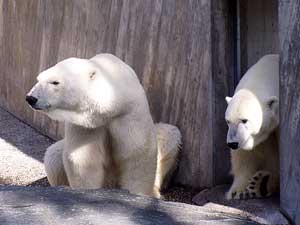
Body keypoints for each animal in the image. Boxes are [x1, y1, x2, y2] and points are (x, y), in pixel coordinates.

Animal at [26, 53, 180, 198]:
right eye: (38, 79)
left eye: (55, 82)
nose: (30, 98)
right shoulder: (86, 124)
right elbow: (83, 158)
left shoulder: (128, 113)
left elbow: (137, 152)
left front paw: (138, 194)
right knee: (52, 156)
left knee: (170, 134)